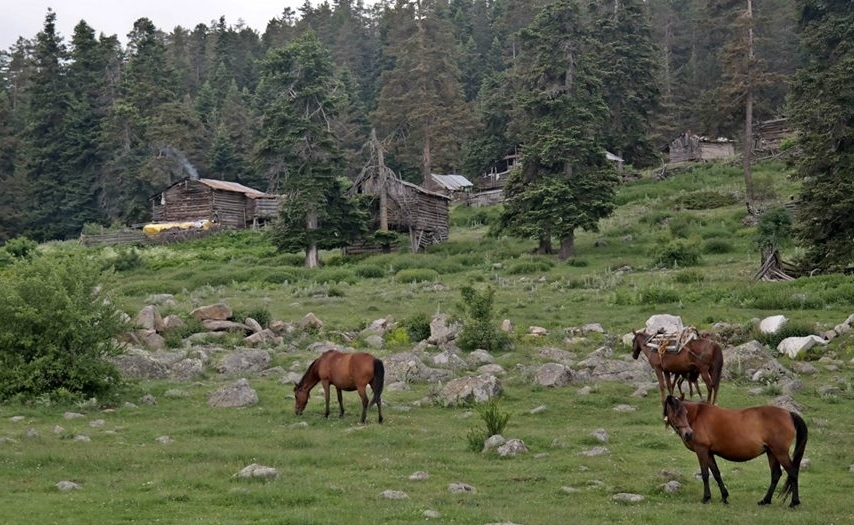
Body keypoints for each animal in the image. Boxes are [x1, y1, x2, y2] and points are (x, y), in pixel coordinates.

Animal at [664, 396, 812, 506]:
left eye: (685, 413)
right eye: (676, 414)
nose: (689, 434)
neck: (696, 415)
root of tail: (789, 413)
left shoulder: (702, 451)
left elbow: (705, 475)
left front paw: (706, 498)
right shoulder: (709, 453)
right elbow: (716, 474)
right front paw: (724, 497)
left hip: (780, 452)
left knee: (792, 472)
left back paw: (794, 502)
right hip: (772, 452)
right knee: (776, 474)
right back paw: (765, 500)